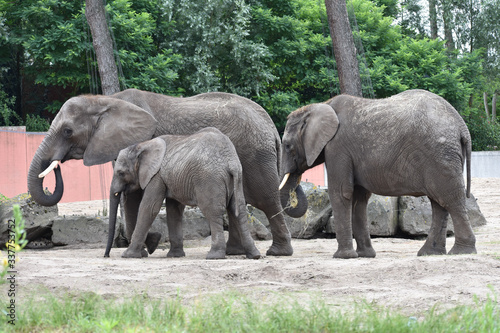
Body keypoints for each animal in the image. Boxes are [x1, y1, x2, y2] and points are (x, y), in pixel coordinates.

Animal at [105, 127, 262, 260]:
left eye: (121, 173)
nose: (106, 255)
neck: (142, 145)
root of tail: (231, 162)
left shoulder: (156, 175)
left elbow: (149, 208)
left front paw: (128, 255)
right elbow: (174, 209)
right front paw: (174, 255)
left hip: (209, 179)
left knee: (213, 212)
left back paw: (214, 256)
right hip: (238, 177)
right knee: (239, 210)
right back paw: (254, 255)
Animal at [282, 89, 476, 258]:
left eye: (286, 145)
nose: (298, 182)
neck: (322, 106)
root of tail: (461, 126)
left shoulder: (337, 148)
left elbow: (341, 193)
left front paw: (343, 257)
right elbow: (359, 198)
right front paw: (365, 255)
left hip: (439, 153)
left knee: (450, 198)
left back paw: (461, 252)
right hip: (442, 155)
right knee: (439, 202)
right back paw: (429, 253)